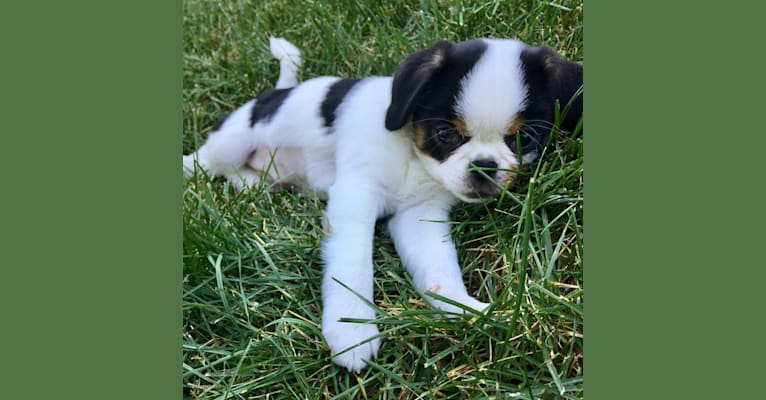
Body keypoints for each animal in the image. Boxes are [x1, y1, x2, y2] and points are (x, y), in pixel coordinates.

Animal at [183, 36, 584, 372]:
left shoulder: (419, 216)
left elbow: (439, 268)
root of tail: (277, 92)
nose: (484, 167)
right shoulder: (355, 196)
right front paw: (353, 328)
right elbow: (353, 264)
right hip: (233, 140)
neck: (412, 154)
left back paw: (254, 185)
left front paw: (463, 309)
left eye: (525, 137)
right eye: (445, 134)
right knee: (204, 161)